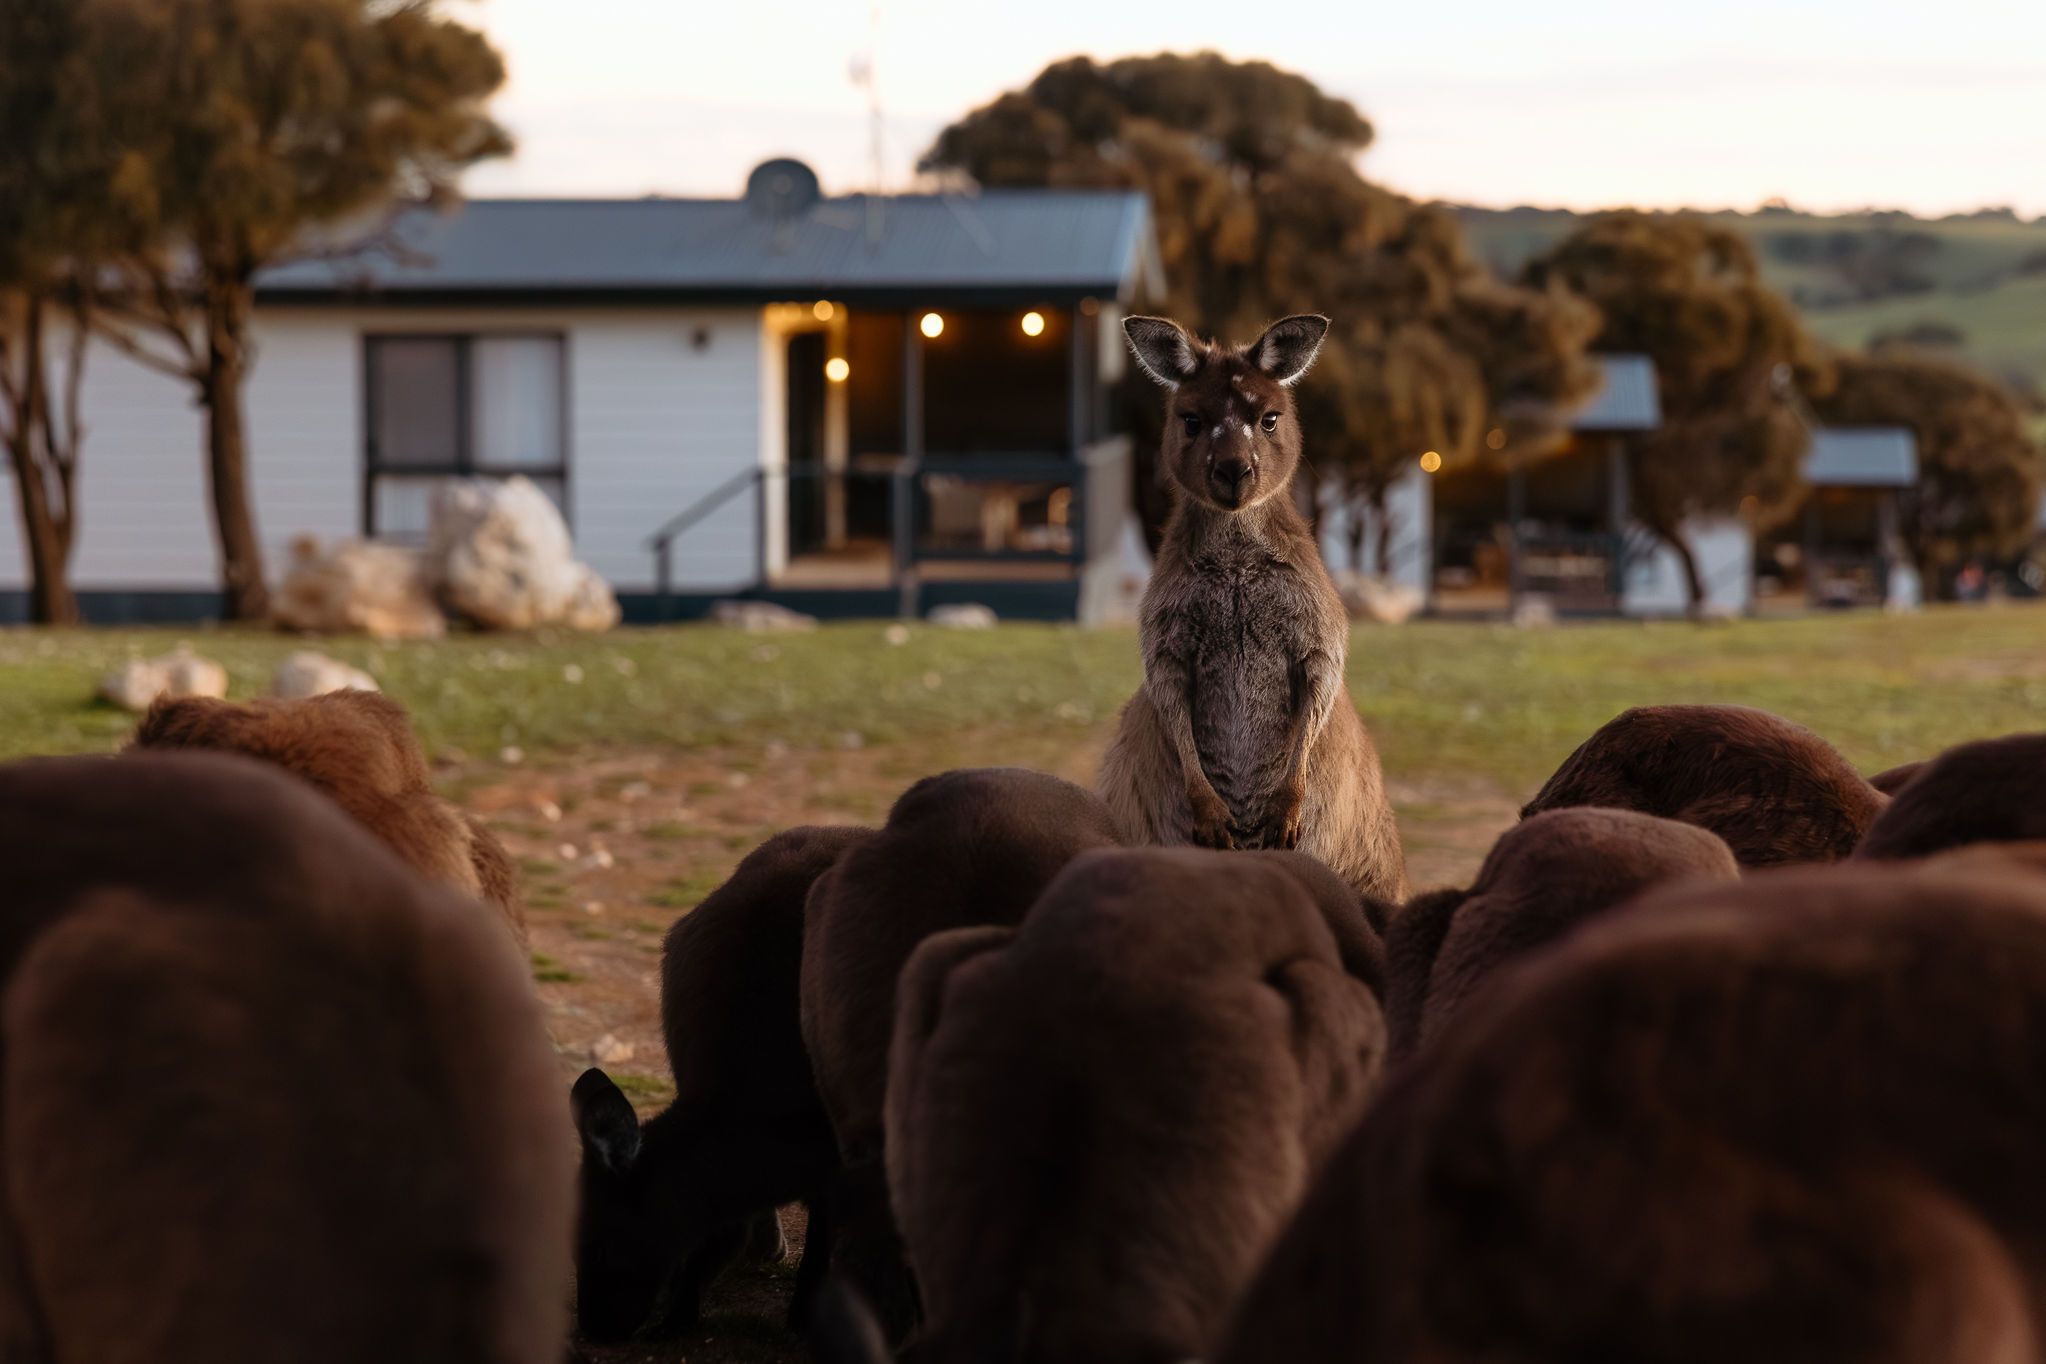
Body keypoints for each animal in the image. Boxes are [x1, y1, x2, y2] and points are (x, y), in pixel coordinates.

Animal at [1098, 313, 1407, 902]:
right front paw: (1212, 814)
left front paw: (1284, 812)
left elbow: (1321, 682)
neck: (1237, 547)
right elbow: (1169, 694)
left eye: (1269, 420)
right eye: (1191, 420)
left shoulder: (1316, 628)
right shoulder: (1165, 638)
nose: (1233, 471)